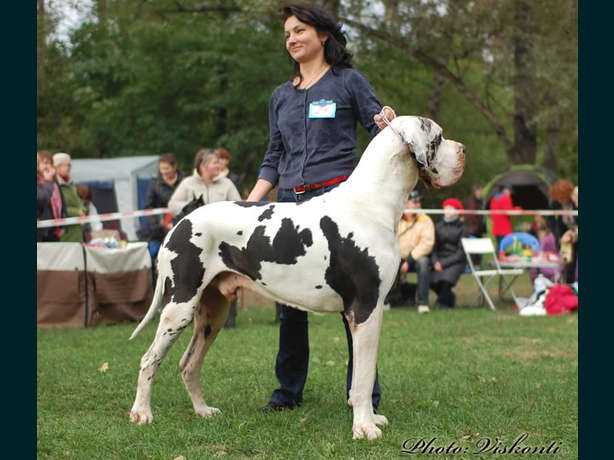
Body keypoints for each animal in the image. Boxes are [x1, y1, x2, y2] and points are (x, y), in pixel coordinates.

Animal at [131, 117, 466, 440]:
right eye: (438, 137)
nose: (463, 150)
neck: (370, 203)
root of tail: (180, 223)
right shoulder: (365, 310)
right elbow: (362, 378)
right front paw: (364, 428)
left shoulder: (367, 313)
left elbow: (364, 372)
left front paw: (370, 419)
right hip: (179, 307)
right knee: (149, 359)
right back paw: (142, 413)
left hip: (213, 313)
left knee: (189, 365)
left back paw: (202, 411)